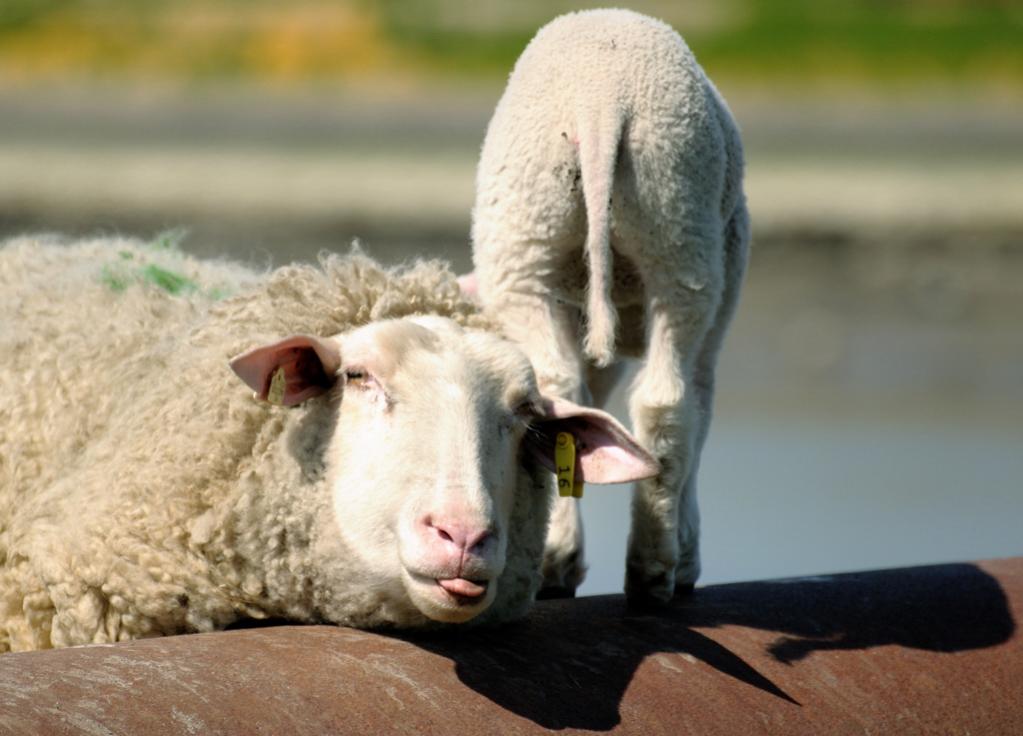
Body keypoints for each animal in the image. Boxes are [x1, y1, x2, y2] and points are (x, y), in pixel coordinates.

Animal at [471, 9, 750, 601]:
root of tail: (600, 101)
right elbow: (703, 409)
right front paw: (688, 553)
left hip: (534, 231)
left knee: (558, 391)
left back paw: (558, 562)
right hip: (684, 236)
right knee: (670, 401)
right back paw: (655, 570)